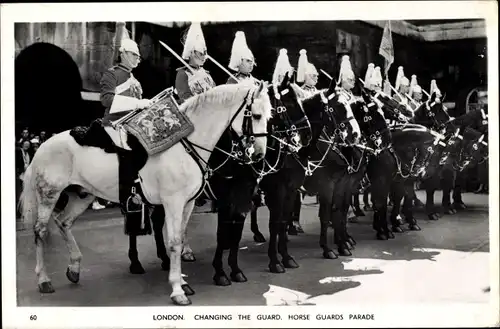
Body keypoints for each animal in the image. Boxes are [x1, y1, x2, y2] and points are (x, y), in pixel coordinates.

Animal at [19, 80, 272, 304]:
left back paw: (74, 267)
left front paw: (182, 282)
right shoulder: (173, 202)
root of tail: (43, 146)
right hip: (49, 195)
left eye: (270, 117)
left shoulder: (187, 203)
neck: (184, 144)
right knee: (41, 231)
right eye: (256, 116)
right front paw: (177, 290)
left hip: (82, 194)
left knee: (63, 222)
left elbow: (181, 237)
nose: (260, 154)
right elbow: (174, 241)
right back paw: (44, 279)